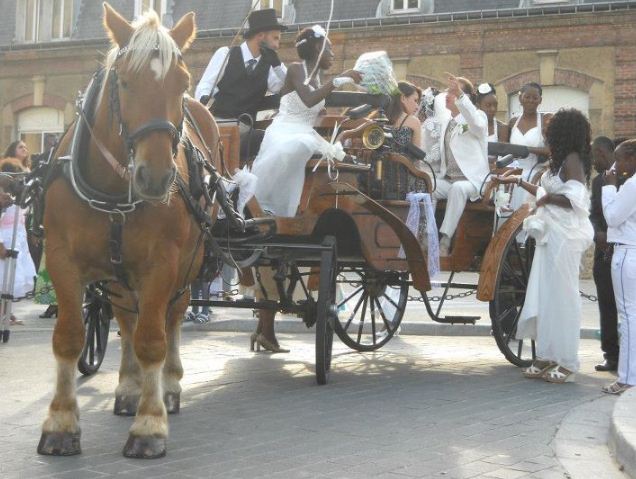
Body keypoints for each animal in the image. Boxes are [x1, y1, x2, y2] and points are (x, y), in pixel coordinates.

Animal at [37, 4, 222, 462]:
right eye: (122, 80)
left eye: (182, 83)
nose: (155, 177)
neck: (114, 191)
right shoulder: (62, 260)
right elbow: (70, 337)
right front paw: (61, 423)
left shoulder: (163, 264)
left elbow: (153, 339)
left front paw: (150, 424)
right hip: (118, 275)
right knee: (125, 318)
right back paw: (127, 387)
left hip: (188, 265)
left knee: (172, 317)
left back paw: (168, 386)